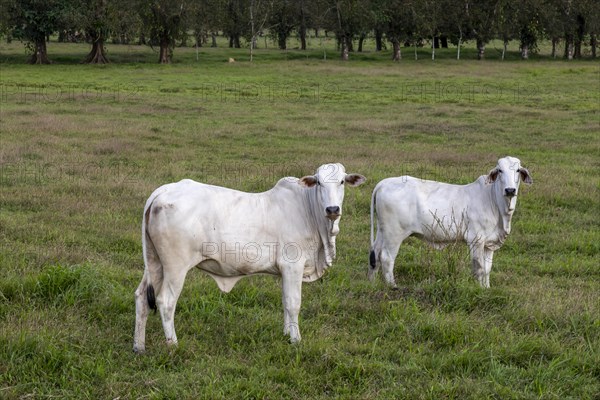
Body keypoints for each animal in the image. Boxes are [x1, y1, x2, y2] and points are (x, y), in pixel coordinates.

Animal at [134, 162, 366, 354]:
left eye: (342, 181)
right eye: (318, 182)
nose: (333, 209)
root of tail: (164, 190)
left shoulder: (284, 271)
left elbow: (284, 302)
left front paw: (286, 334)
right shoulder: (292, 265)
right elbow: (293, 303)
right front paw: (296, 340)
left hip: (154, 263)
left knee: (141, 297)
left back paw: (139, 346)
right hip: (176, 267)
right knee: (166, 301)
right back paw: (173, 345)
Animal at [368, 156, 532, 288]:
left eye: (518, 170)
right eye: (500, 170)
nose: (510, 190)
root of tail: (384, 183)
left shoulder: (489, 244)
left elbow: (487, 270)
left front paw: (486, 289)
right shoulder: (476, 240)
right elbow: (479, 268)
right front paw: (479, 289)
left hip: (382, 231)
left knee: (375, 255)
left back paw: (372, 283)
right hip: (394, 234)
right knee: (387, 258)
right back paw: (393, 286)